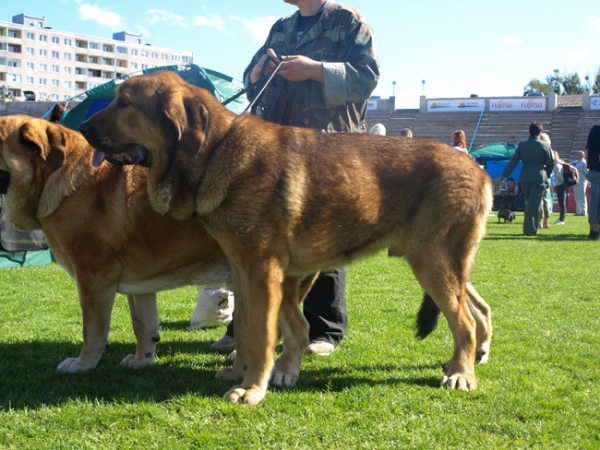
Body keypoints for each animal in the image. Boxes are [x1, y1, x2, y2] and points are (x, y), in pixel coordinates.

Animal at [0, 115, 230, 372]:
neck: (52, 176)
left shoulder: (93, 278)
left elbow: (92, 329)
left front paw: (82, 364)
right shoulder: (141, 284)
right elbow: (143, 324)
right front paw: (141, 361)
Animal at [79, 70, 492, 404]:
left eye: (124, 103)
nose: (82, 128)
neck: (215, 153)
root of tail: (477, 168)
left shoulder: (263, 272)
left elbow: (262, 335)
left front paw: (251, 389)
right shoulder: (244, 271)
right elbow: (248, 329)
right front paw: (243, 373)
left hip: (431, 264)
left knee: (464, 322)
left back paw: (461, 374)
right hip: (445, 267)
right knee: (479, 309)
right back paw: (474, 357)